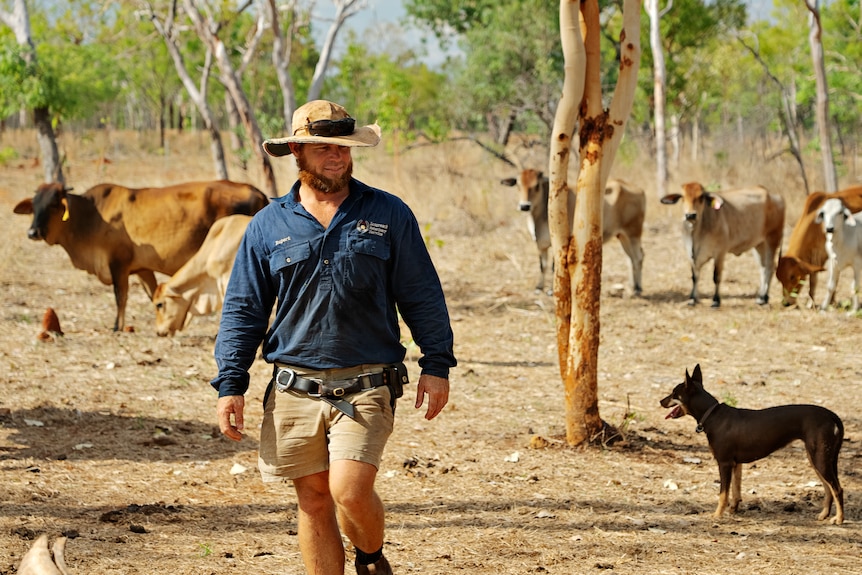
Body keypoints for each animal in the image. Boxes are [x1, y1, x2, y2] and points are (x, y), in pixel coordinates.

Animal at [13, 180, 268, 332]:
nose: (32, 232)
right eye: (34, 205)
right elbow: (148, 294)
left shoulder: (118, 264)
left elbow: (120, 297)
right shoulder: (142, 269)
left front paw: (117, 327)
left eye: (54, 204)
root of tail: (257, 191)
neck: (91, 215)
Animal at [500, 170, 648, 296]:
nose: (525, 206)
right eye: (518, 185)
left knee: (638, 257)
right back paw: (633, 286)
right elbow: (542, 266)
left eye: (537, 185)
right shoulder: (541, 245)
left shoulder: (559, 243)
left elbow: (554, 267)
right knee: (630, 258)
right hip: (622, 236)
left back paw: (638, 289)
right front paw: (539, 288)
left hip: (633, 234)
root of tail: (639, 190)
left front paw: (552, 291)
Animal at [660, 182, 788, 308]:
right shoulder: (691, 255)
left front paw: (716, 300)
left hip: (772, 239)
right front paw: (692, 299)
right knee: (763, 267)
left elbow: (716, 276)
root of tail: (775, 195)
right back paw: (760, 297)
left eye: (701, 197)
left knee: (770, 267)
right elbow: (695, 276)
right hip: (759, 244)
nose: (690, 215)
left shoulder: (720, 253)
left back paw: (764, 298)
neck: (697, 232)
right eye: (682, 197)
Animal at [660, 366, 844, 524]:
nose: (660, 401)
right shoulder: (736, 464)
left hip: (820, 458)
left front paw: (717, 515)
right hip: (818, 458)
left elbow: (723, 493)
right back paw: (824, 514)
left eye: (674, 393)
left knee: (837, 489)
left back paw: (839, 519)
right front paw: (733, 510)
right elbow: (736, 490)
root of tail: (832, 415)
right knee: (828, 488)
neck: (712, 415)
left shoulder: (724, 463)